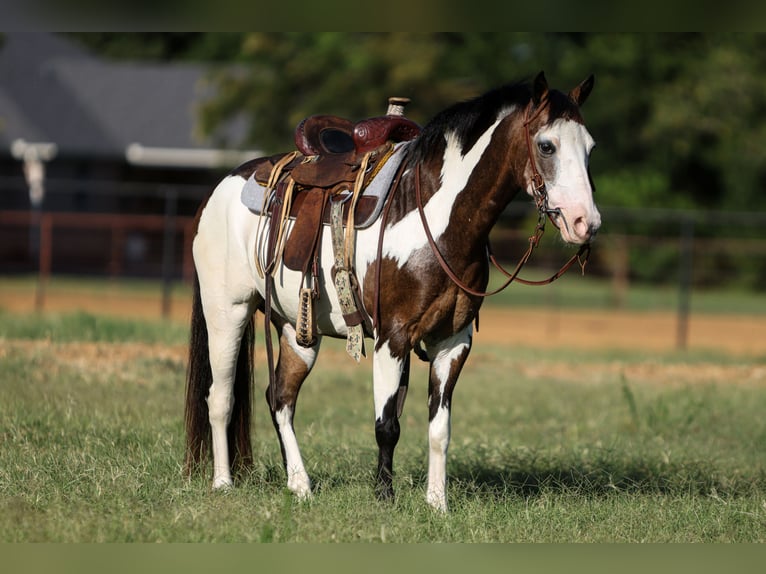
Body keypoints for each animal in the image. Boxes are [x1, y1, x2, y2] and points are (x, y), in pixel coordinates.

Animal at [184, 72, 600, 512]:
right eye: (546, 145)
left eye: (590, 147)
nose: (585, 222)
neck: (436, 219)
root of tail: (219, 189)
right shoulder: (393, 337)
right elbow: (387, 425)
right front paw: (384, 496)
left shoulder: (453, 341)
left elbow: (439, 428)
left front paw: (437, 504)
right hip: (227, 312)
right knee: (220, 398)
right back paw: (223, 483)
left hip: (298, 331)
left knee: (280, 398)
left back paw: (299, 485)